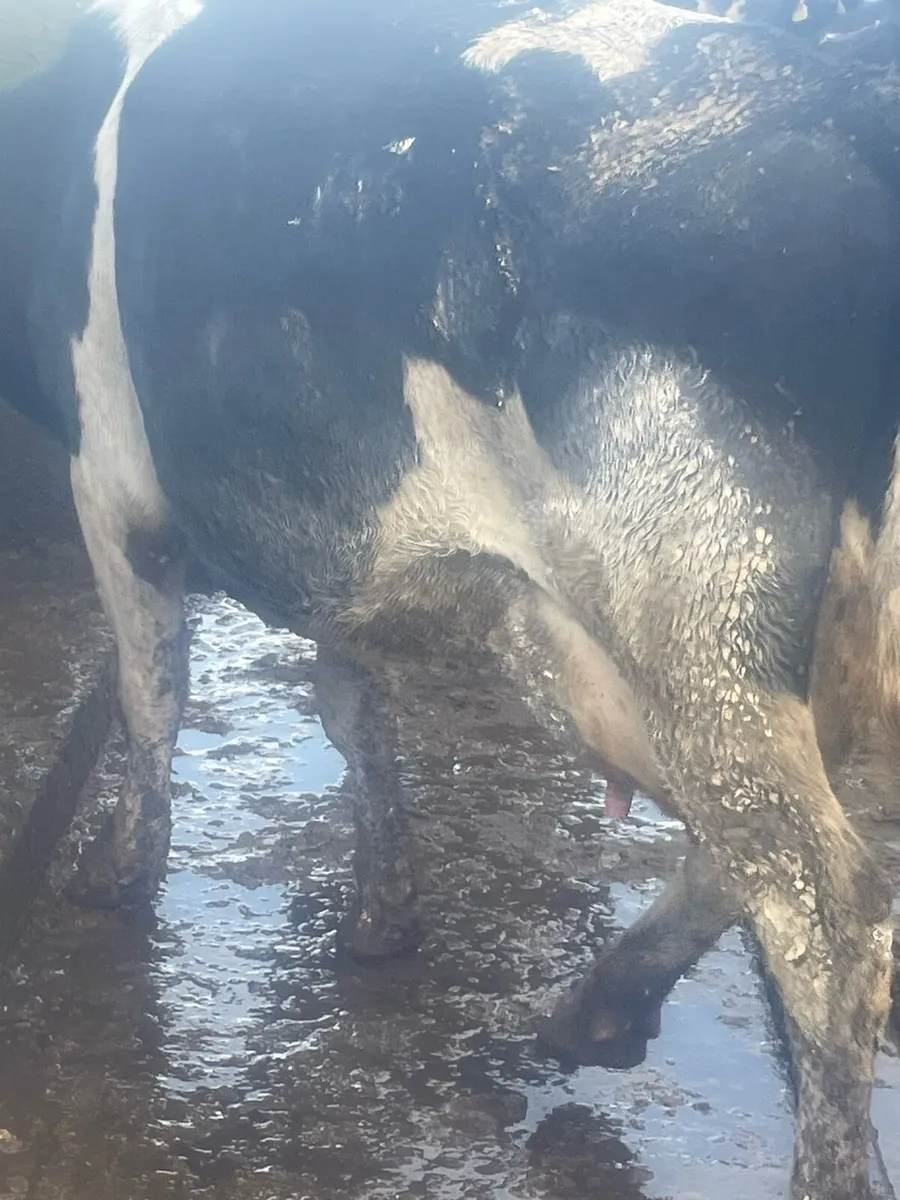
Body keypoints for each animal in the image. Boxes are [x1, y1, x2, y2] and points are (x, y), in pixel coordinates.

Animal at [1, 0, 899, 1196]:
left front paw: (113, 873)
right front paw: (383, 912)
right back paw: (596, 1010)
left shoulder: (114, 485)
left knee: (825, 915)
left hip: (698, 605)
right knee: (763, 869)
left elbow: (155, 694)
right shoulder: (338, 534)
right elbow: (351, 706)